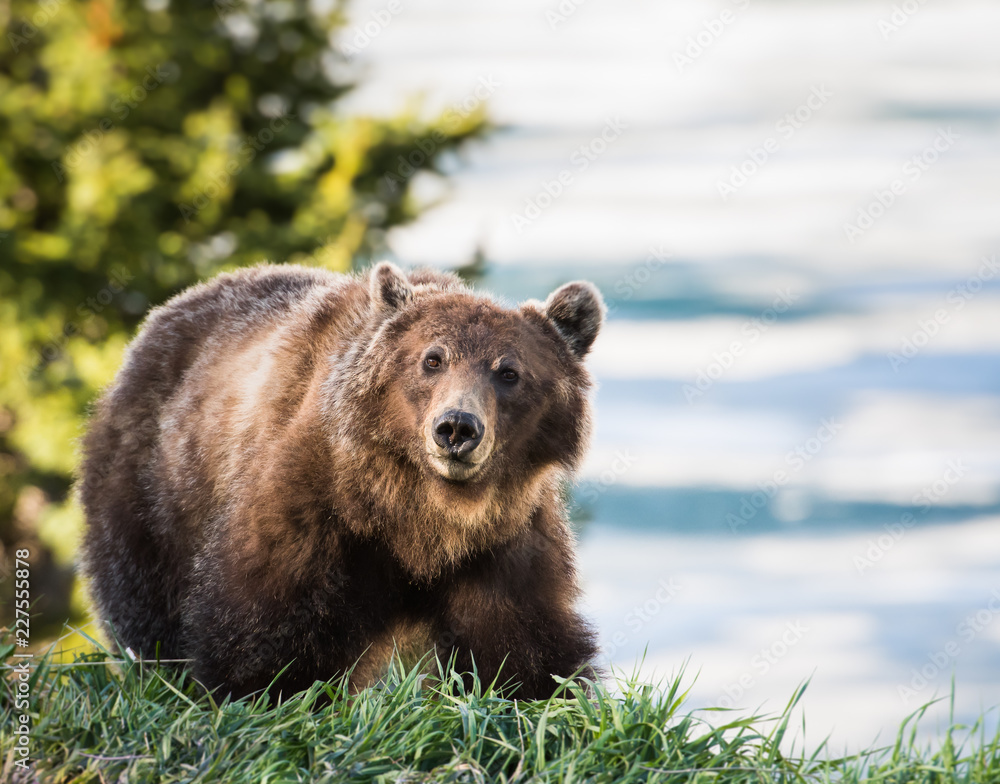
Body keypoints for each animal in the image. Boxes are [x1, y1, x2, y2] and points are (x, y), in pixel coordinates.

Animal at [79, 261, 604, 699]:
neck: (421, 513)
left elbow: (521, 643)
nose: (457, 427)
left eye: (509, 371)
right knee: (143, 596)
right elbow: (263, 619)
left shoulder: (502, 541)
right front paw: (259, 688)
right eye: (433, 359)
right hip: (156, 486)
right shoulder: (316, 505)